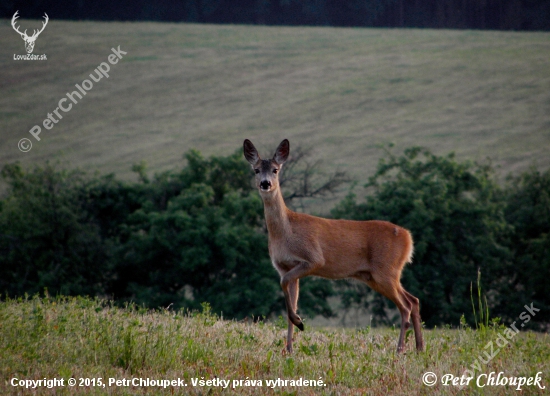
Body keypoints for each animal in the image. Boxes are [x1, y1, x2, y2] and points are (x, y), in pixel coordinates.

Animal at [243, 138, 426, 352]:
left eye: (275, 169)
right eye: (256, 170)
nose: (265, 183)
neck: (286, 232)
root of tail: (408, 238)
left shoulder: (313, 258)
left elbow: (285, 285)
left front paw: (299, 323)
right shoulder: (284, 267)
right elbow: (289, 301)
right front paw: (289, 346)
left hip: (386, 270)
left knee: (405, 305)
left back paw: (400, 349)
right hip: (375, 276)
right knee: (414, 300)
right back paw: (419, 347)